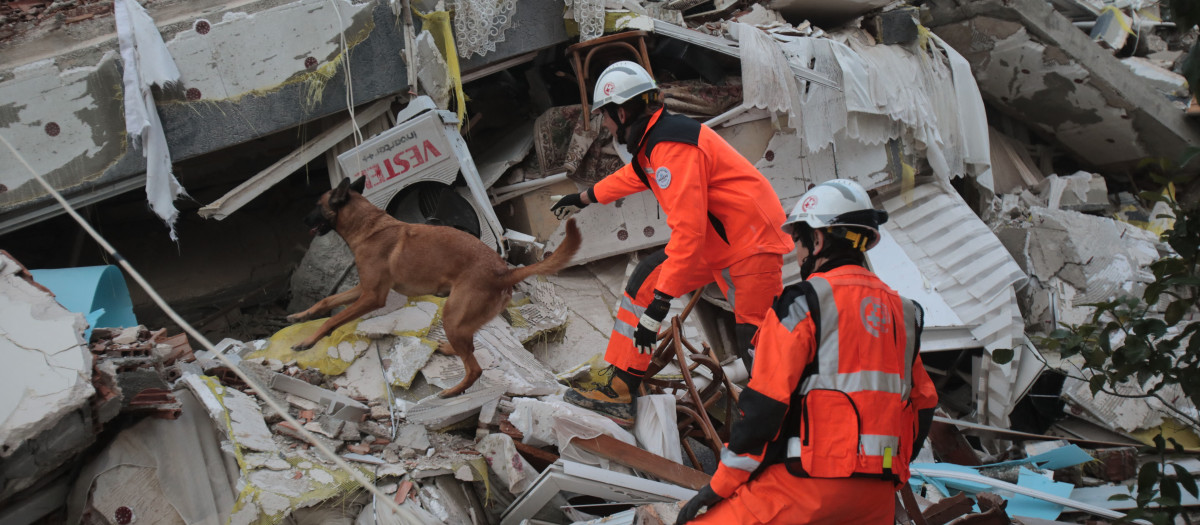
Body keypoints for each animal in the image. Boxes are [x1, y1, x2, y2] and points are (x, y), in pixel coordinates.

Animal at [282, 177, 580, 397]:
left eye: (317, 205)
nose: (303, 221)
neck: (369, 226)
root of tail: (503, 272)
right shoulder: (363, 289)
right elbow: (325, 302)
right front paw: (300, 316)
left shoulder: (372, 296)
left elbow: (333, 320)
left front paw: (307, 341)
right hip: (460, 320)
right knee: (470, 347)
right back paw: (447, 350)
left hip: (452, 315)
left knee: (474, 367)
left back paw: (452, 391)